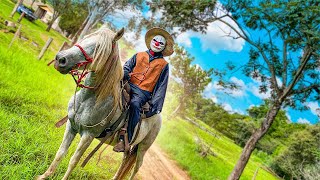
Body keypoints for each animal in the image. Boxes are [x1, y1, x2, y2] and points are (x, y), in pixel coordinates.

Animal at [37, 27, 162, 180]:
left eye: (98, 47)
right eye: (85, 38)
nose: (60, 59)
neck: (88, 99)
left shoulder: (88, 136)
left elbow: (73, 161)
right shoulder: (70, 126)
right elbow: (60, 153)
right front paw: (43, 176)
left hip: (142, 148)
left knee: (136, 168)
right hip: (130, 147)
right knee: (124, 162)